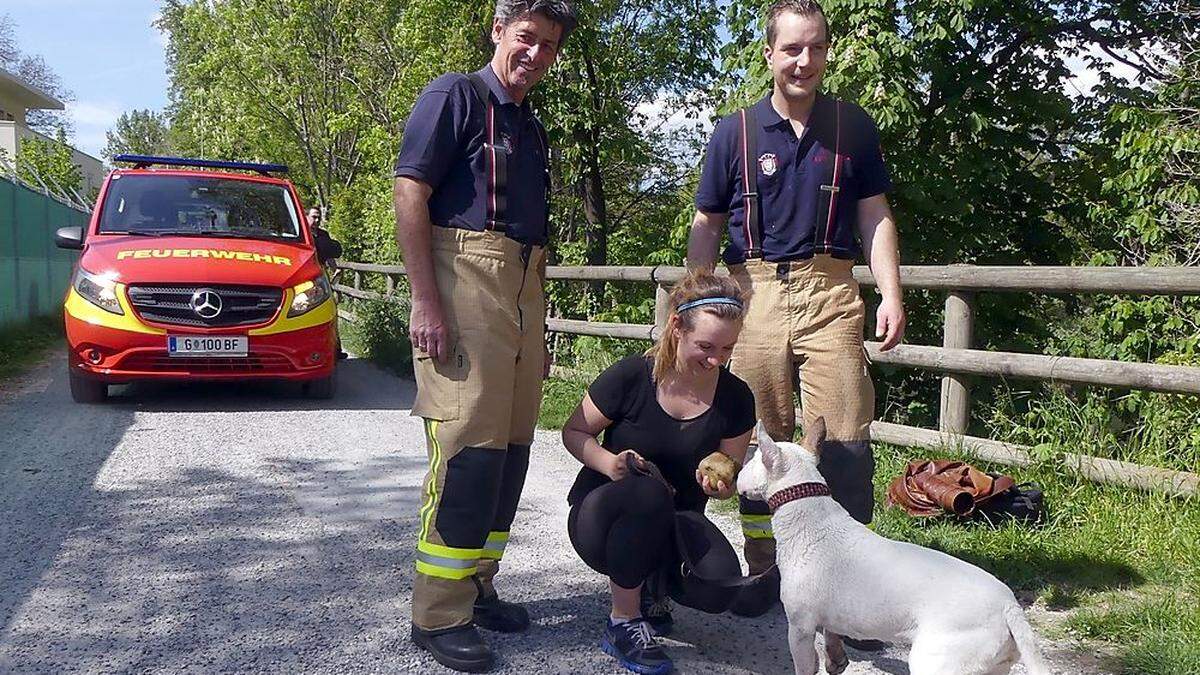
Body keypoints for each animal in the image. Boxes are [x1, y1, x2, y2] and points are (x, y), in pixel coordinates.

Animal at [734, 417, 1056, 672]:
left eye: (754, 458)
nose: (737, 472)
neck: (807, 508)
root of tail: (1009, 608)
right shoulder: (829, 619)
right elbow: (833, 640)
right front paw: (836, 661)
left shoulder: (800, 627)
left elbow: (805, 665)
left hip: (937, 661)